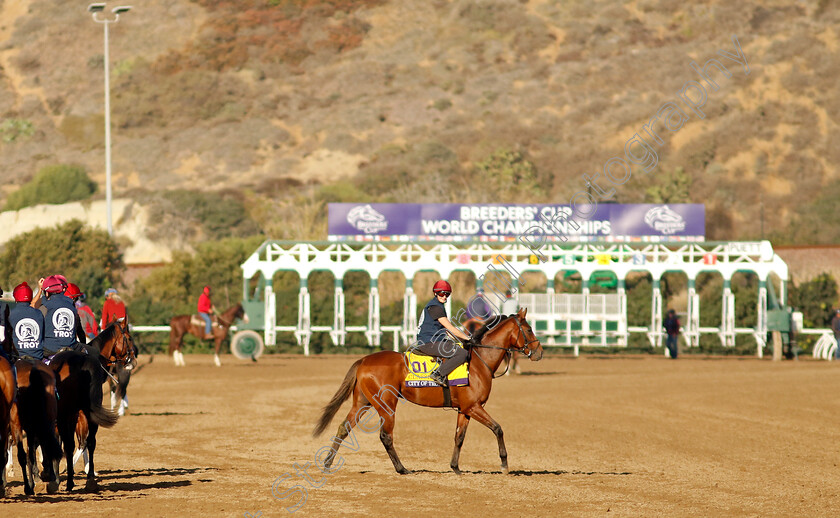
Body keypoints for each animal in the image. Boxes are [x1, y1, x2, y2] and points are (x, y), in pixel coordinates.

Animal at [312, 308, 540, 476]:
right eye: (529, 329)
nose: (538, 352)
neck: (478, 362)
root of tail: (364, 360)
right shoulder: (474, 407)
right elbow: (498, 429)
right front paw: (504, 465)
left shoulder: (465, 410)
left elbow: (459, 437)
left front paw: (456, 468)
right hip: (386, 405)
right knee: (386, 436)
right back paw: (402, 469)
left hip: (362, 403)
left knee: (344, 428)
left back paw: (327, 464)